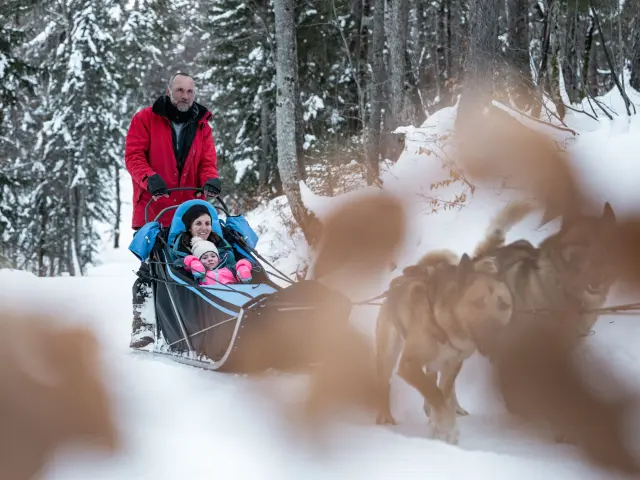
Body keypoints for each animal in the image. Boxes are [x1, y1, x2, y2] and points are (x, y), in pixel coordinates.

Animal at [375, 250, 514, 444]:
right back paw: (385, 417)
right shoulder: (408, 365)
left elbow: (442, 393)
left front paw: (441, 425)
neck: (446, 328)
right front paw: (447, 428)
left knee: (441, 386)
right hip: (388, 352)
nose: (496, 335)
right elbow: (435, 394)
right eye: (478, 302)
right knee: (384, 381)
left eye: (504, 304)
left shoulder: (452, 363)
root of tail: (396, 282)